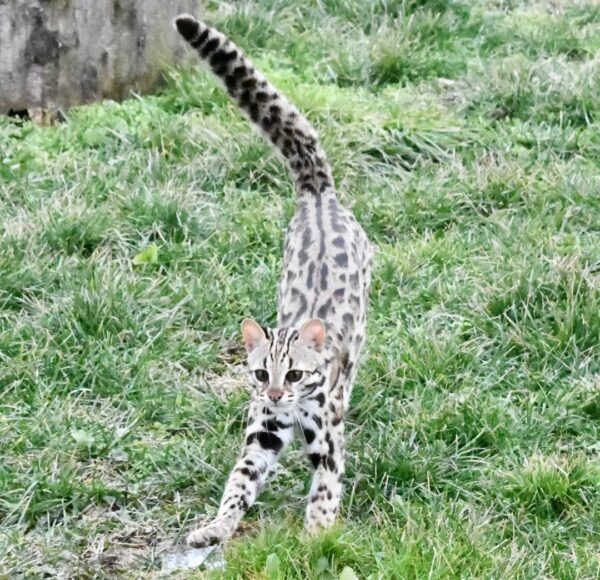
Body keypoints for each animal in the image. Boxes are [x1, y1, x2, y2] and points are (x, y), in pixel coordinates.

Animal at [173, 14, 372, 548]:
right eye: (262, 374)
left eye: (297, 374)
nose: (279, 394)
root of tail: (318, 193)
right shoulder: (261, 431)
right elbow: (239, 482)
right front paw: (215, 527)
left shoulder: (326, 438)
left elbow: (325, 489)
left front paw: (317, 536)